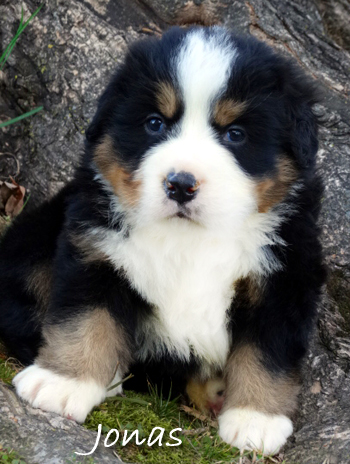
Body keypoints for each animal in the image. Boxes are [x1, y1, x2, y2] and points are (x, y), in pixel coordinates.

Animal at [0, 25, 326, 454]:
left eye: (236, 134)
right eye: (155, 123)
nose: (181, 184)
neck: (189, 238)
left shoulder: (284, 276)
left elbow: (267, 351)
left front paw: (256, 419)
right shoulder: (94, 249)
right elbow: (85, 319)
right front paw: (62, 382)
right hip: (33, 244)